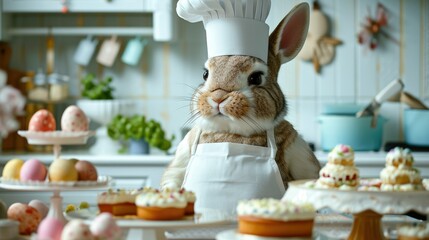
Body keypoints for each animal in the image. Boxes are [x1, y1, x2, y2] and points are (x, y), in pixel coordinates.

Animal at [161, 1, 320, 204]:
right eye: (205, 74)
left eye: (256, 78)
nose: (218, 98)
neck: (231, 132)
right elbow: (174, 174)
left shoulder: (296, 147)